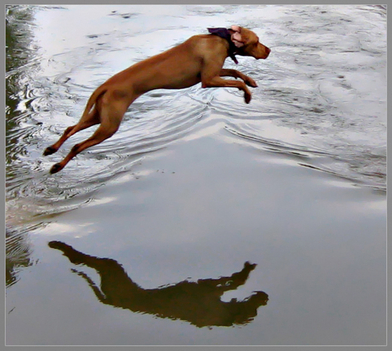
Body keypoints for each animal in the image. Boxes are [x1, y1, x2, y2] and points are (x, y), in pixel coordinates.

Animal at [43, 24, 270, 173]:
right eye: (257, 41)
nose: (269, 50)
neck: (221, 40)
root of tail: (105, 85)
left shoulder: (212, 74)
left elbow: (234, 71)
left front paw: (250, 80)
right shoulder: (208, 80)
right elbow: (236, 81)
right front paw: (247, 95)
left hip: (100, 116)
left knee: (69, 129)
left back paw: (51, 149)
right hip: (110, 126)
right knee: (77, 145)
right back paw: (57, 166)